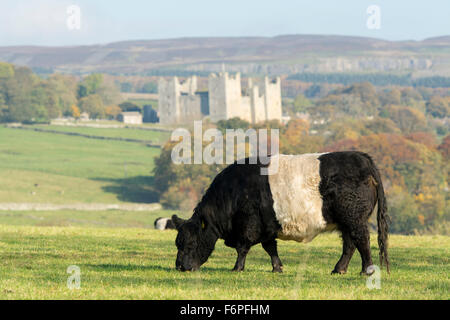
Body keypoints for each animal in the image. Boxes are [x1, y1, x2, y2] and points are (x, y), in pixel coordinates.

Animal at [171, 151, 388, 276]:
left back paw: (366, 271)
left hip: (354, 218)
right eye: (177, 243)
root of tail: (363, 158)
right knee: (350, 244)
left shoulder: (248, 225)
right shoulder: (266, 226)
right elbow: (270, 248)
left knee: (362, 240)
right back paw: (338, 269)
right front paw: (277, 268)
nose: (180, 266)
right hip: (347, 221)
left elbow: (243, 248)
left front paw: (237, 268)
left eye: (190, 243)